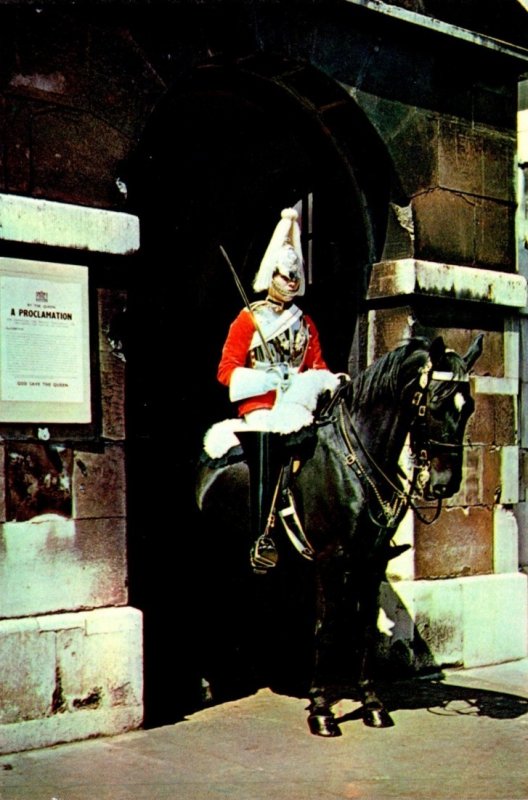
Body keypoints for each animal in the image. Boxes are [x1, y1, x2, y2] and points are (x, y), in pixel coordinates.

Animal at [195, 332, 482, 736]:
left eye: (467, 405)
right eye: (435, 403)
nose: (444, 484)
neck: (359, 461)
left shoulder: (371, 562)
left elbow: (363, 627)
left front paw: (372, 704)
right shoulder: (330, 560)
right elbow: (326, 627)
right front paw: (321, 709)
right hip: (218, 556)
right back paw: (213, 681)